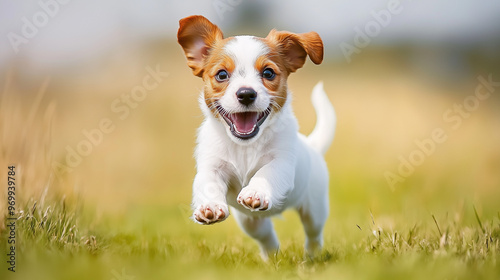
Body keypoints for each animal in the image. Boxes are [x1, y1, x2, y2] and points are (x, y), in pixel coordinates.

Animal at [176, 15, 336, 260]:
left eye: (268, 73)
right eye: (222, 75)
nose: (246, 94)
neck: (245, 146)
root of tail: (313, 146)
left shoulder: (281, 164)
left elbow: (265, 174)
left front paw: (255, 191)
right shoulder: (212, 167)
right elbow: (209, 185)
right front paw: (210, 207)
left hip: (315, 209)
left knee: (313, 233)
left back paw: (312, 255)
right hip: (250, 221)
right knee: (266, 234)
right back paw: (272, 257)